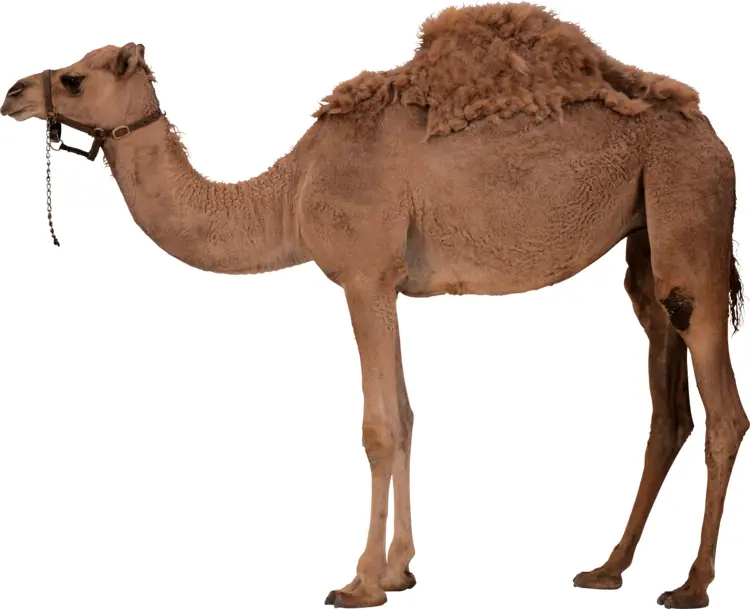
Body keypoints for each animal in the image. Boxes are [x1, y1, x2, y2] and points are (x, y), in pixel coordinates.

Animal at [1, 3, 746, 608]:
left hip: (690, 212)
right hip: (647, 242)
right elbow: (409, 415)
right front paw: (400, 570)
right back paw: (608, 568)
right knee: (667, 406)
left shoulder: (363, 274)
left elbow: (379, 427)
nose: (14, 92)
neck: (290, 190)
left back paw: (691, 585)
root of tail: (713, 135)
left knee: (723, 409)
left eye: (75, 78)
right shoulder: (388, 284)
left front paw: (358, 581)